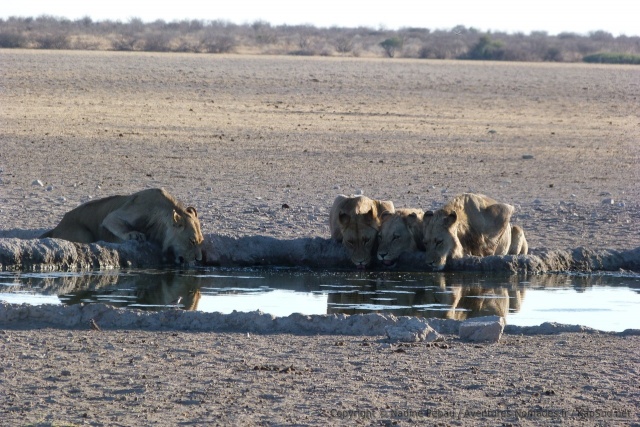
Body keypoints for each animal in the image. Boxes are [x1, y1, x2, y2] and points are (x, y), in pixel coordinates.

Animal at [40, 188, 204, 264]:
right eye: (191, 241)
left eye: (200, 242)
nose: (199, 260)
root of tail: (56, 227)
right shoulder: (118, 215)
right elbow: (114, 222)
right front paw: (135, 235)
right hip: (83, 234)